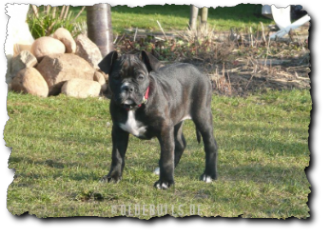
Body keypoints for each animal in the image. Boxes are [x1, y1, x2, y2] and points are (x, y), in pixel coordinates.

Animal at [96, 51, 218, 190]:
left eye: (140, 77)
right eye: (116, 77)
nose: (127, 87)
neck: (134, 107)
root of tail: (199, 70)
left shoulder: (164, 130)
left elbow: (166, 157)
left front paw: (165, 182)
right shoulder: (118, 131)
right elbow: (117, 155)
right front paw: (113, 177)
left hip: (202, 115)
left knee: (210, 144)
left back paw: (209, 174)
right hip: (175, 121)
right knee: (180, 143)